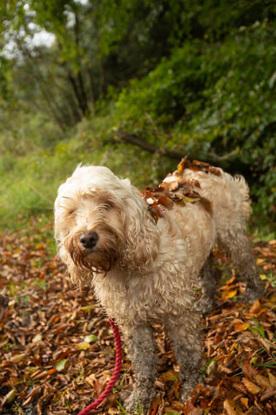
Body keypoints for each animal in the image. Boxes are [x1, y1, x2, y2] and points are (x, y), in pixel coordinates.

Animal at [54, 160, 264, 412]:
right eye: (72, 212)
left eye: (107, 203)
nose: (87, 239)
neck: (124, 268)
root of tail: (206, 168)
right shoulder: (133, 324)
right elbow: (143, 364)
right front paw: (140, 398)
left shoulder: (178, 313)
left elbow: (188, 353)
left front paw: (192, 390)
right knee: (211, 270)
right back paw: (207, 302)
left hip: (231, 233)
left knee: (247, 262)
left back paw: (254, 294)